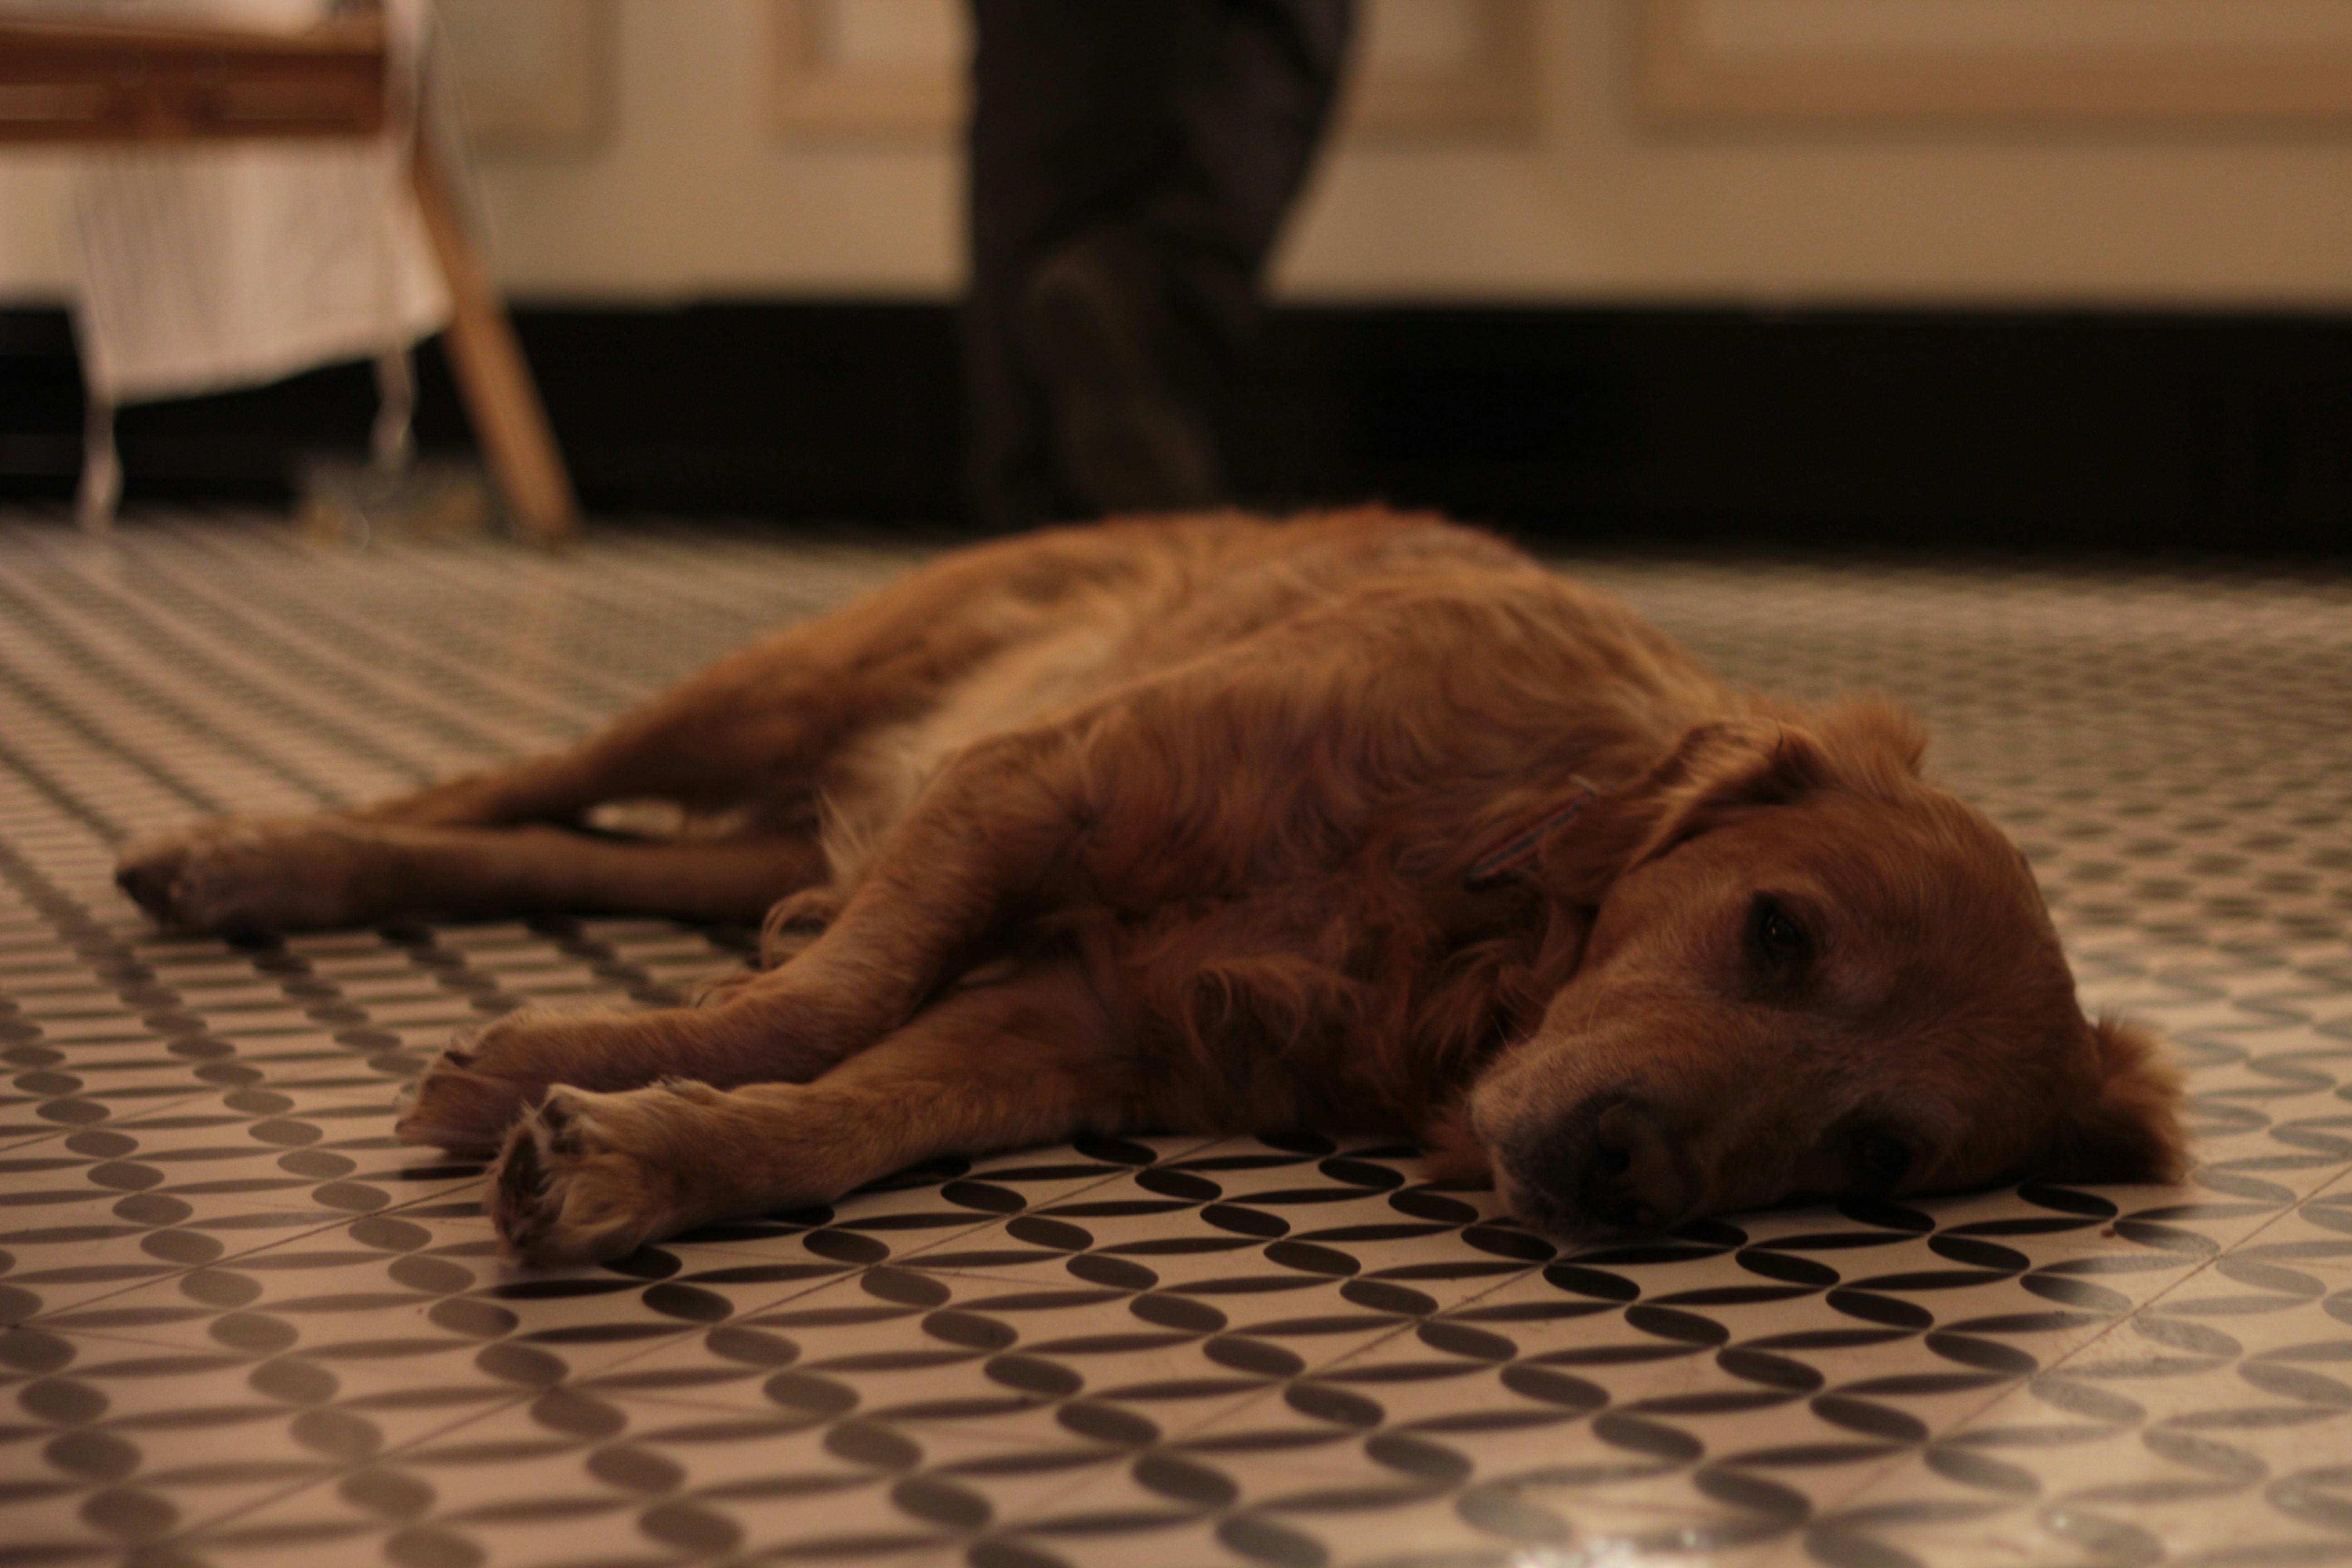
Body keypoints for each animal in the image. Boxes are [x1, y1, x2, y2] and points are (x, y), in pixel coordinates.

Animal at [114, 514, 2182, 1260]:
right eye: (1775, 928)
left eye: (1877, 1155)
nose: (1621, 1171)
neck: (1462, 918)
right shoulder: (1044, 782)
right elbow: (826, 1010)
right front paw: (564, 1063)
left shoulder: (1082, 1023)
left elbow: (845, 1107)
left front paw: (640, 1150)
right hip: (800, 677)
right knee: (514, 784)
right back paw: (242, 852)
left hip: (804, 801)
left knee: (587, 847)